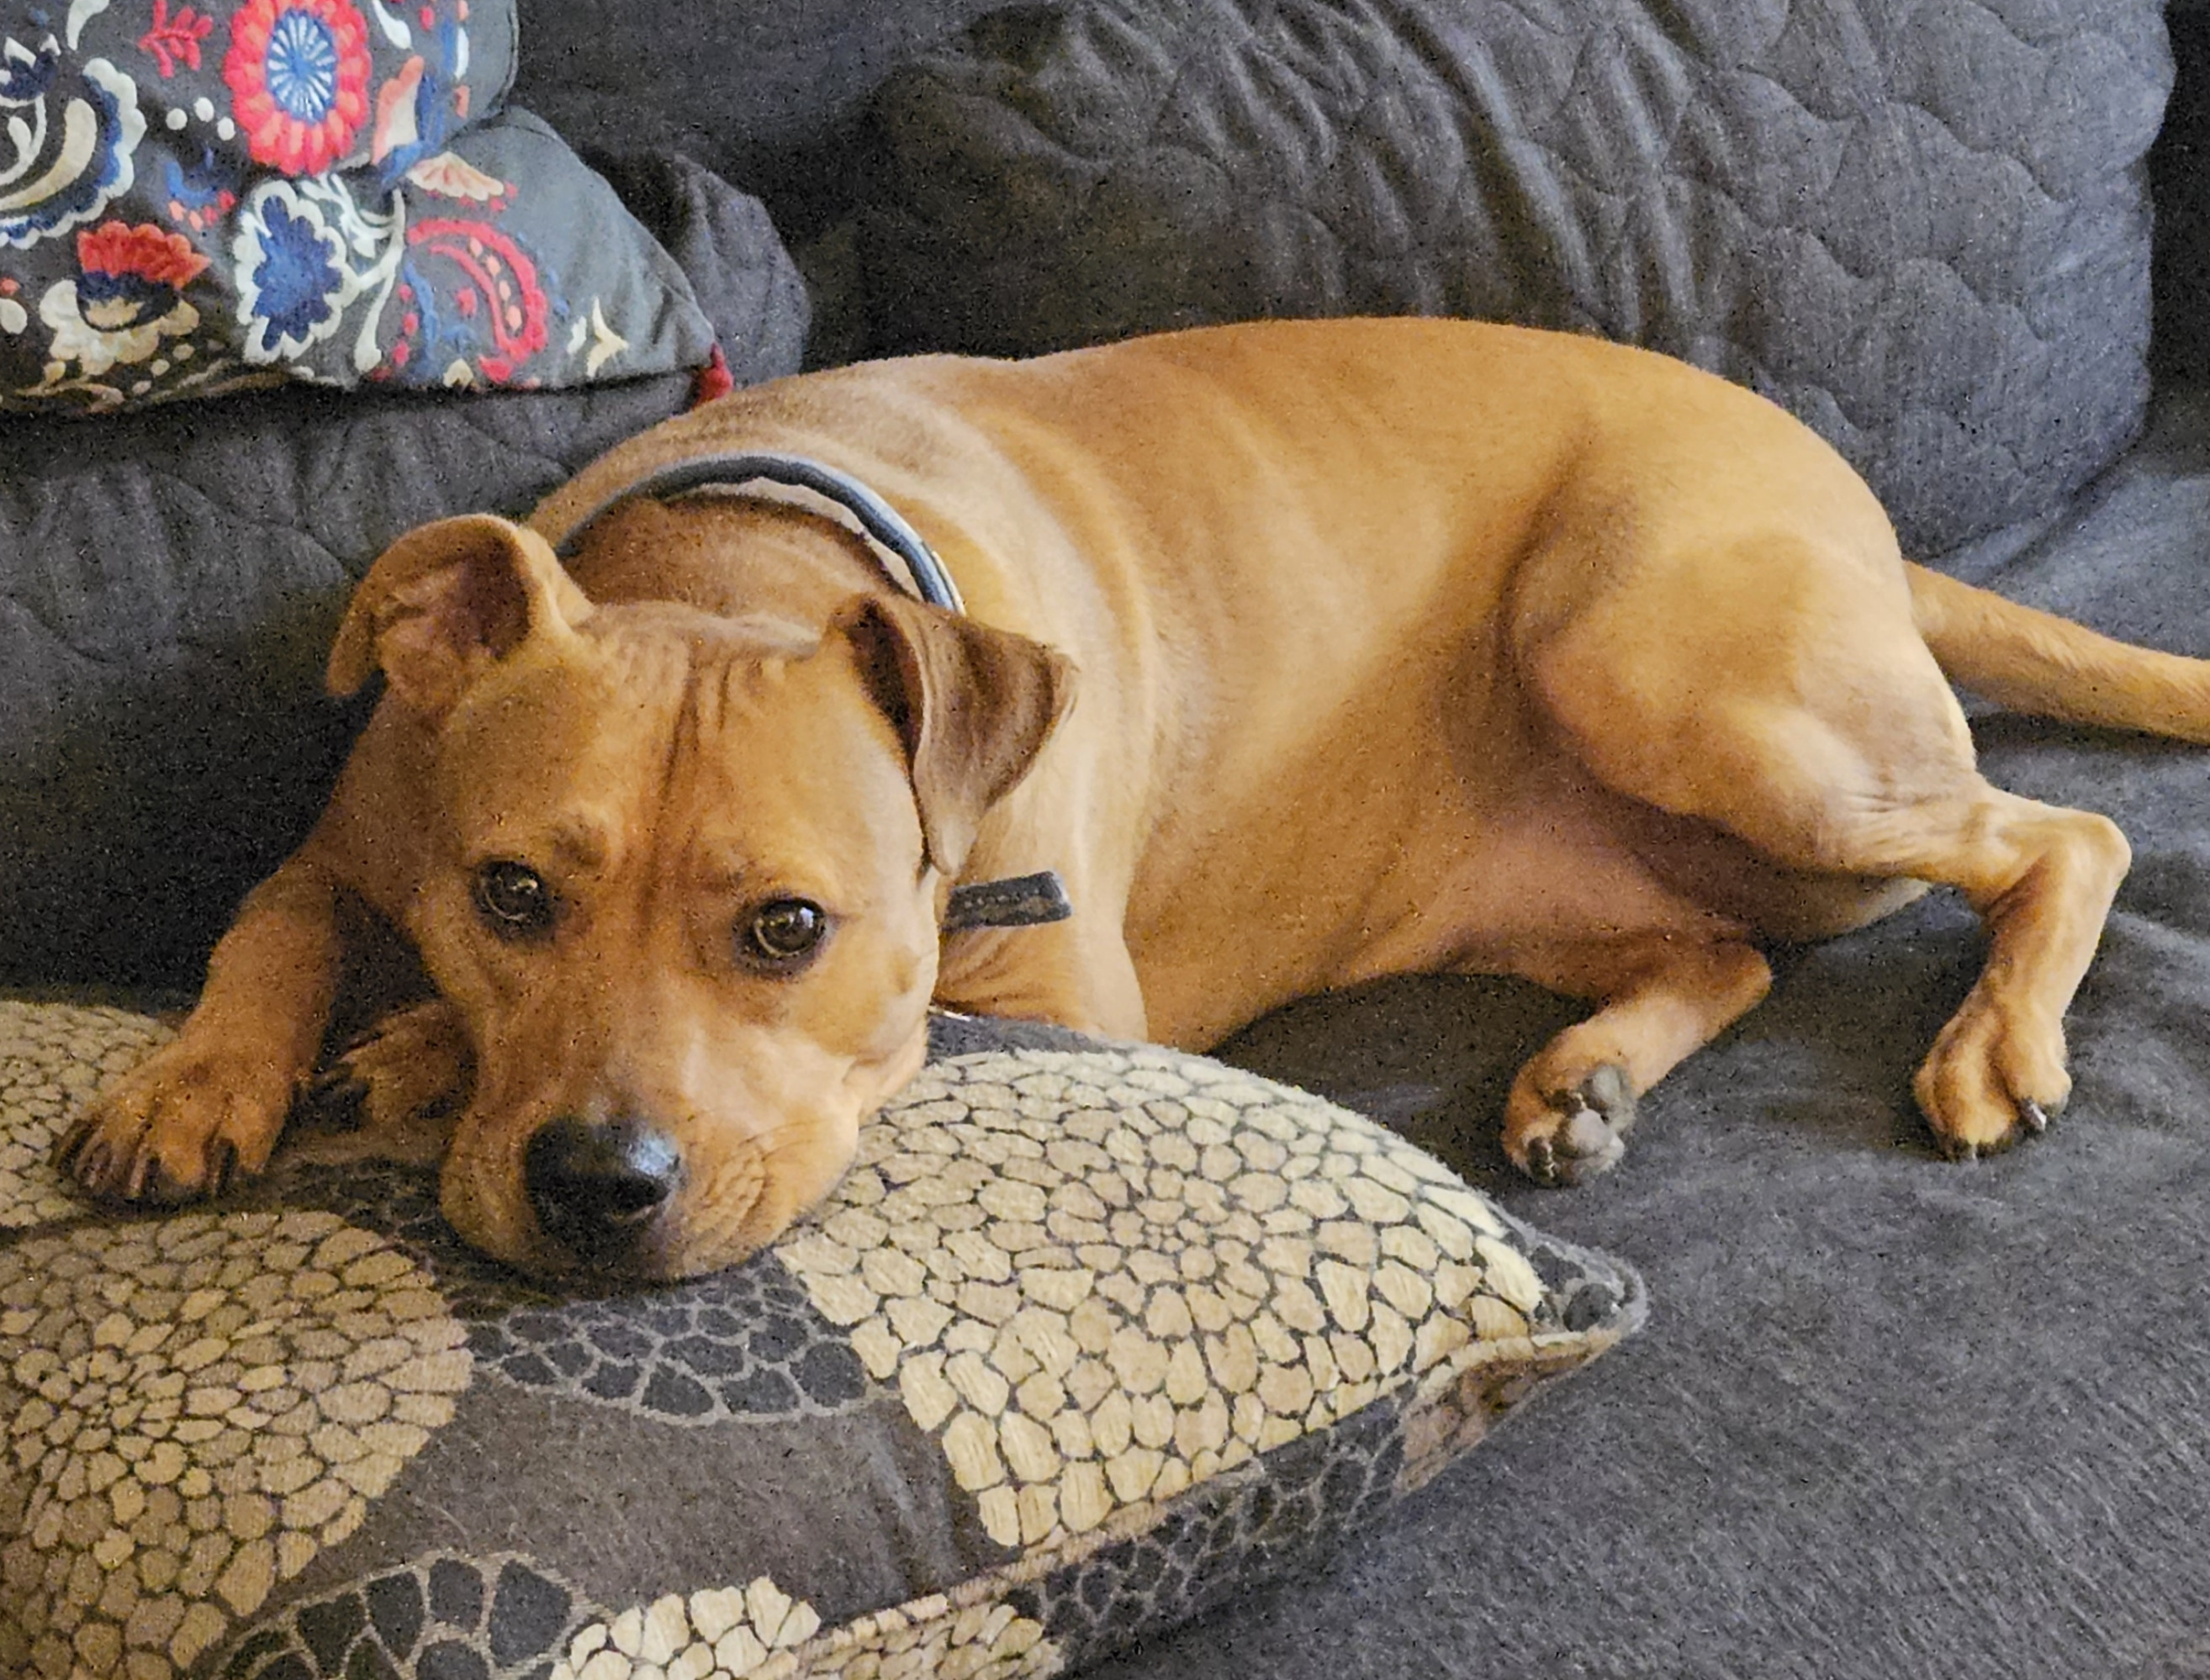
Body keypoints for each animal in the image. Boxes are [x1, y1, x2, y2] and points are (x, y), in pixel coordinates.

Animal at [47, 320, 2210, 1281]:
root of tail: (1867, 517)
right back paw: (1580, 1073)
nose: (593, 1189)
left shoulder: (1045, 996)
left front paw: (404, 1051)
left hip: (1668, 670)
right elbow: (274, 912)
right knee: (1728, 952)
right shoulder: (362, 827)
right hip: (1560, 854)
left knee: (2060, 833)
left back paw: (1994, 1038)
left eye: (788, 930)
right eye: (509, 893)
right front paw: (209, 1078)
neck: (737, 557)